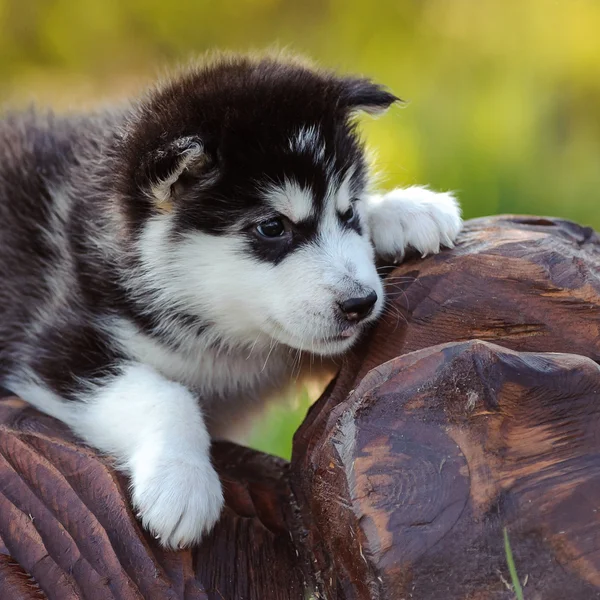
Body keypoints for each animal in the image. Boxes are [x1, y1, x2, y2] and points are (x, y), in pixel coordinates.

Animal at [0, 52, 460, 548]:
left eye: (348, 211)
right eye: (273, 227)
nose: (361, 302)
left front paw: (404, 211)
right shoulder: (58, 348)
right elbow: (166, 395)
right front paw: (181, 481)